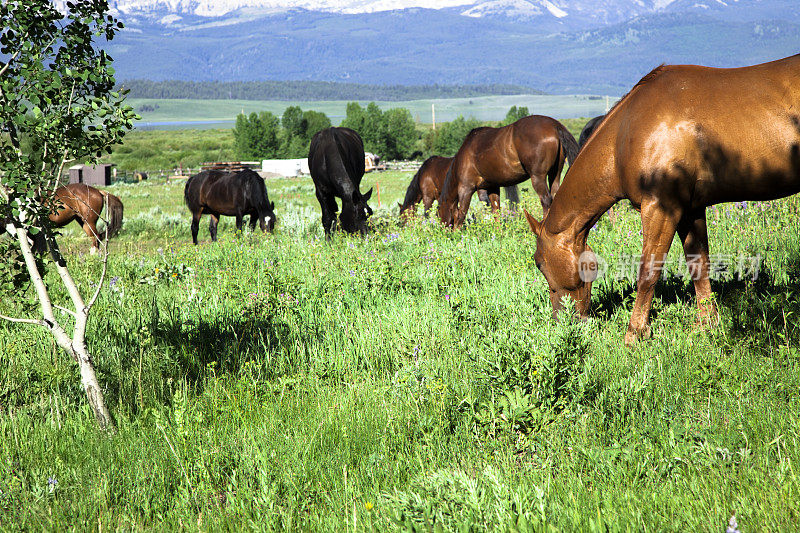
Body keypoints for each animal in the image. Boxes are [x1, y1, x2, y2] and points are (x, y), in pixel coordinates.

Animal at [440, 115, 580, 225]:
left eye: (438, 214)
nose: (443, 230)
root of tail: (555, 125)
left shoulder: (466, 189)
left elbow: (461, 214)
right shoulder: (492, 187)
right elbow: (496, 211)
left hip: (538, 178)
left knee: (546, 200)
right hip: (555, 174)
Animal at [524, 54, 800, 344]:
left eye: (539, 263)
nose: (563, 322)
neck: (625, 135)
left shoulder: (661, 207)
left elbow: (648, 271)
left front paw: (634, 334)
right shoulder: (690, 210)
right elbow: (698, 264)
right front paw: (707, 326)